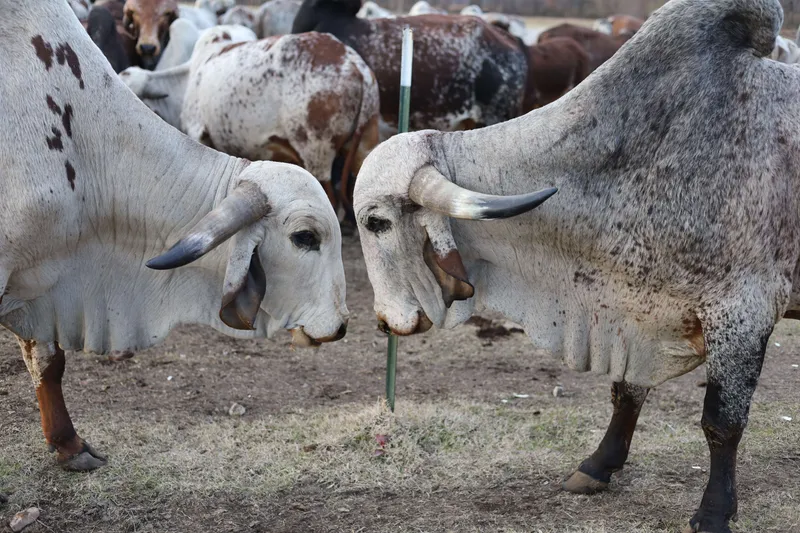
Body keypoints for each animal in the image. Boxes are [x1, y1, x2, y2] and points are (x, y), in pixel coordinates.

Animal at [352, 0, 798, 530]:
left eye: (376, 222)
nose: (384, 321)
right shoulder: (637, 311)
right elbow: (627, 392)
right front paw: (599, 465)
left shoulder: (743, 313)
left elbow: (722, 423)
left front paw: (713, 511)